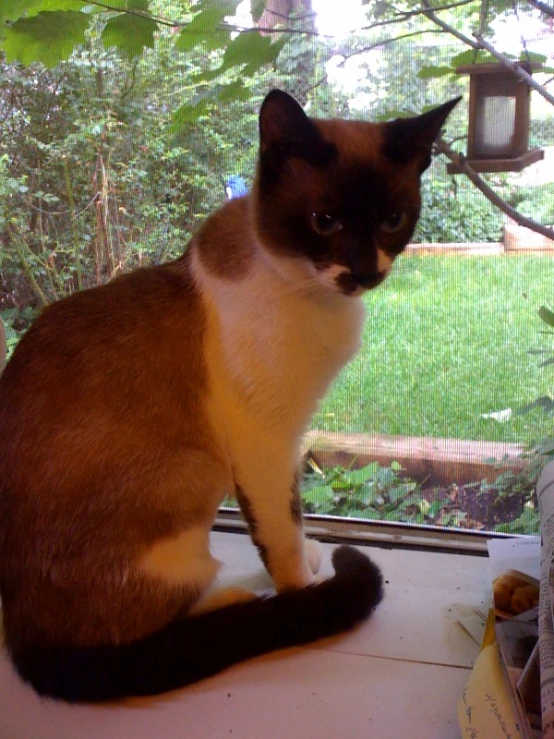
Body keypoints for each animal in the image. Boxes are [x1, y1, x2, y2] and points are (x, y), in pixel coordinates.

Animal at [0, 89, 458, 704]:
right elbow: (282, 534)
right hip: (195, 469)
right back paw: (233, 601)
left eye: (391, 220)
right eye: (324, 221)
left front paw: (310, 561)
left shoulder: (292, 435)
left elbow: (292, 520)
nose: (362, 273)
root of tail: (21, 633)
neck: (309, 293)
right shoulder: (264, 440)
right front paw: (303, 594)